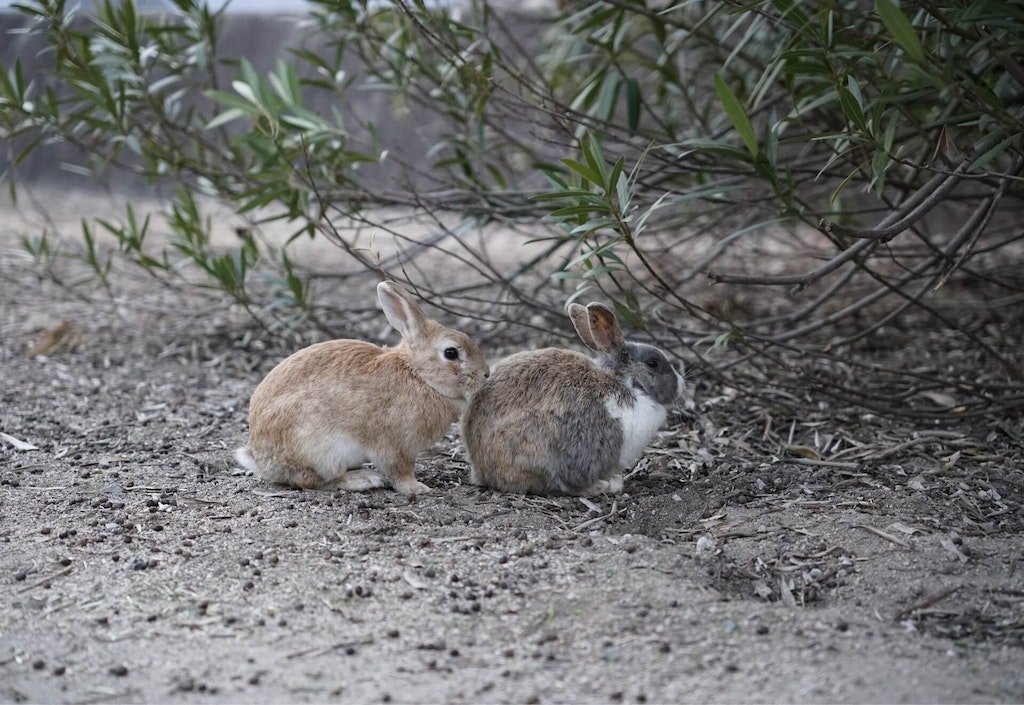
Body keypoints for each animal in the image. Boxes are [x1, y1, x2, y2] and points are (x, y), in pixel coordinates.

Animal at [235, 281, 490, 495]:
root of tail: (261, 459)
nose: (485, 374)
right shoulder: (396, 445)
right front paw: (418, 489)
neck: (419, 374)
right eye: (451, 353)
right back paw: (362, 479)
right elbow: (400, 471)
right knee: (311, 480)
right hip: (318, 450)